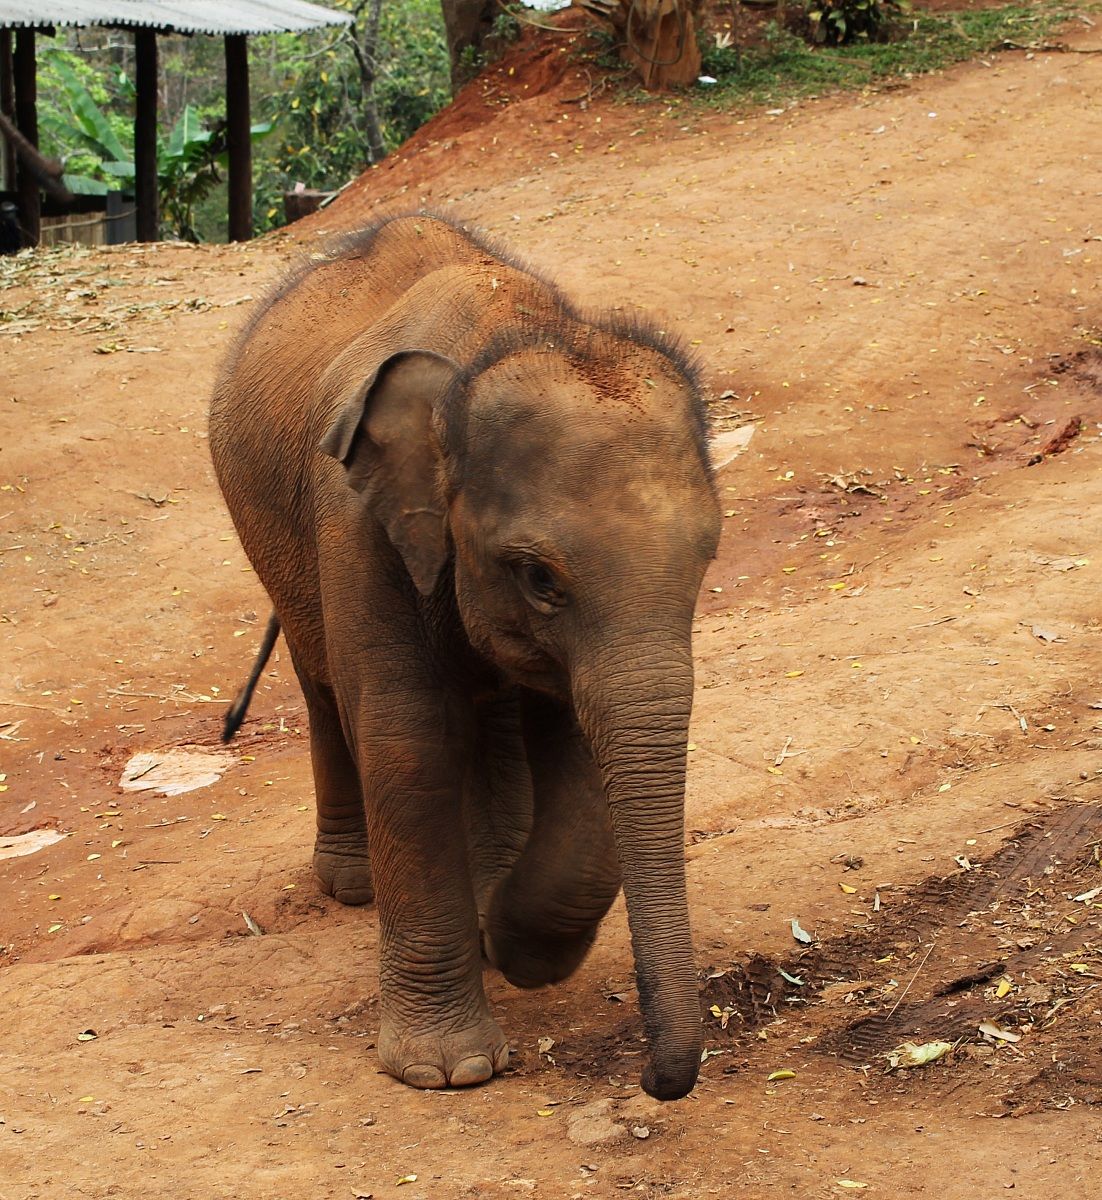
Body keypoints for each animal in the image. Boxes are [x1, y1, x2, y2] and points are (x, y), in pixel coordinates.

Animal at [208, 213, 721, 1101]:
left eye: (707, 557)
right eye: (539, 577)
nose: (657, 1080)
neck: (497, 339)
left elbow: (572, 740)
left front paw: (515, 946)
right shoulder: (357, 528)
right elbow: (408, 744)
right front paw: (450, 1071)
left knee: (495, 715)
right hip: (267, 530)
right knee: (322, 682)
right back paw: (353, 886)